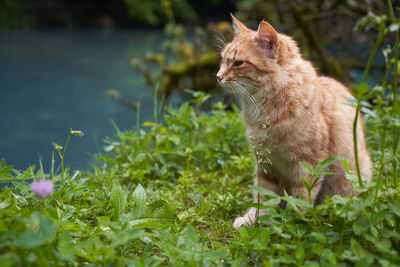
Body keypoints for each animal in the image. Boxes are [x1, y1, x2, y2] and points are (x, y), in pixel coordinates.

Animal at [217, 14, 374, 229]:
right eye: (223, 60)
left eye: (239, 63)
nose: (218, 77)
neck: (264, 109)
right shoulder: (265, 163)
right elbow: (263, 196)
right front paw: (254, 218)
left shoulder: (308, 165)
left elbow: (300, 200)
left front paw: (293, 225)